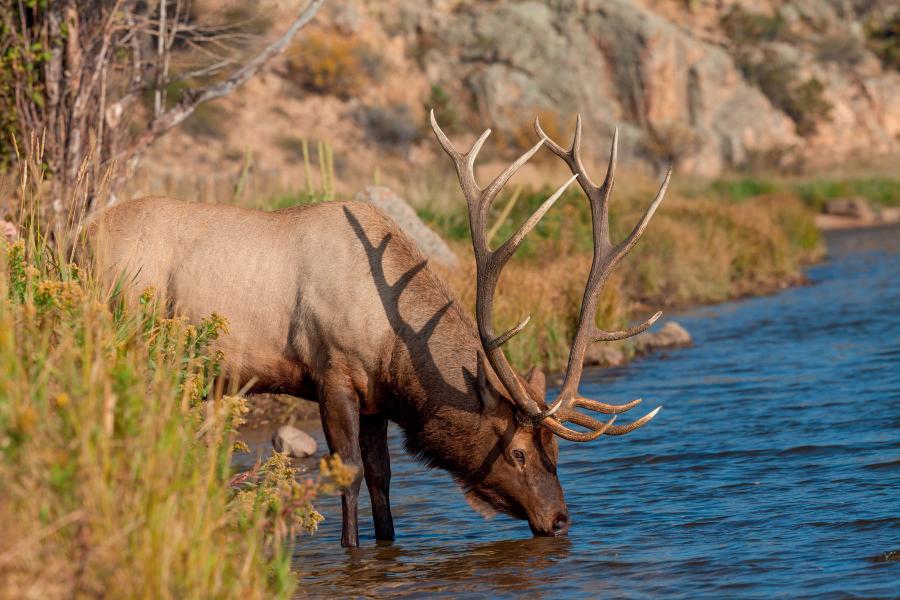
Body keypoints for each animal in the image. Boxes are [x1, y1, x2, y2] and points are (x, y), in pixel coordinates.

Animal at [88, 110, 672, 548]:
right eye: (518, 452)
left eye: (557, 451)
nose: (560, 520)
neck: (394, 346)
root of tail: (74, 238)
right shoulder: (333, 373)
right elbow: (345, 473)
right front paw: (351, 549)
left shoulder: (375, 400)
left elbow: (381, 480)